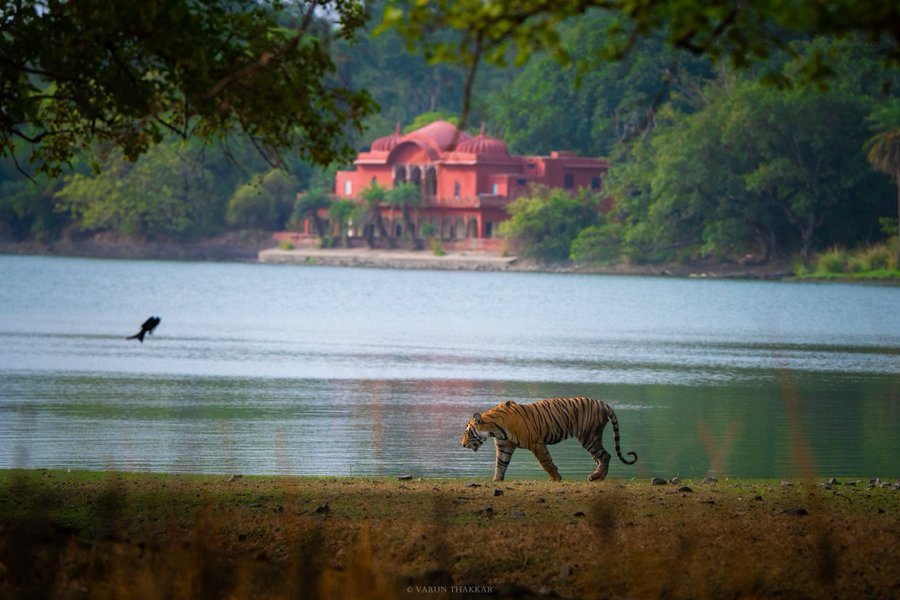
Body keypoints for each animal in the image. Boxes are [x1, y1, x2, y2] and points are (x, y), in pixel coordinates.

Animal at [461, 396, 637, 481]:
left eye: (468, 433)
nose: (462, 445)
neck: (494, 429)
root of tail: (603, 403)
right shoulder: (505, 446)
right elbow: (500, 465)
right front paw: (496, 481)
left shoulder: (536, 444)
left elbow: (546, 462)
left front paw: (556, 478)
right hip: (592, 438)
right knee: (601, 458)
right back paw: (598, 477)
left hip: (589, 437)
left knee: (605, 455)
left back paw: (597, 477)